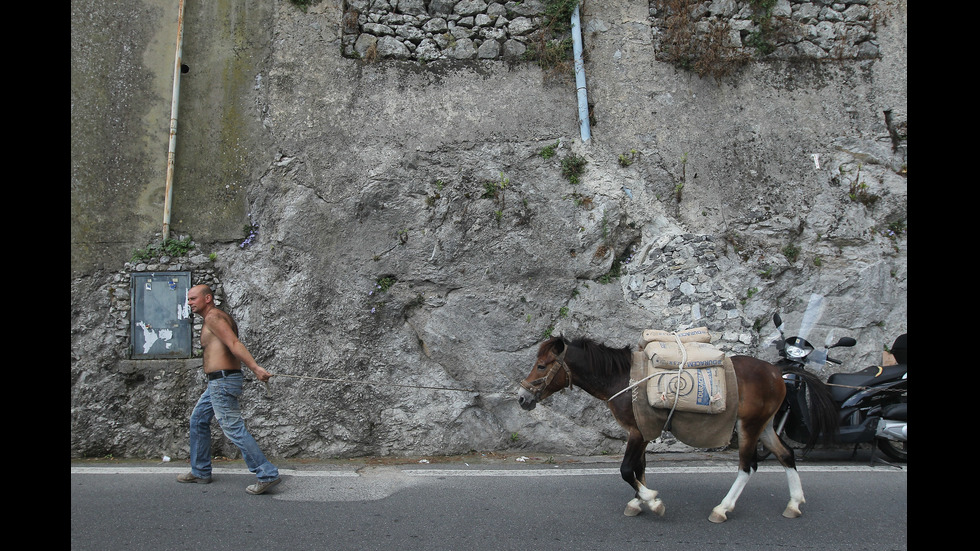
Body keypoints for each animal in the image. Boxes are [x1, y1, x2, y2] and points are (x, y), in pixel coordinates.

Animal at [520, 336, 804, 520]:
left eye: (542, 365)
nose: (523, 398)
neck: (623, 379)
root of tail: (776, 373)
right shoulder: (642, 432)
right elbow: (639, 469)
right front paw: (639, 502)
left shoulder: (638, 432)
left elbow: (626, 470)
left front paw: (652, 501)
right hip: (764, 425)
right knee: (786, 455)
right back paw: (794, 503)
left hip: (749, 425)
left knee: (747, 467)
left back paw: (722, 508)